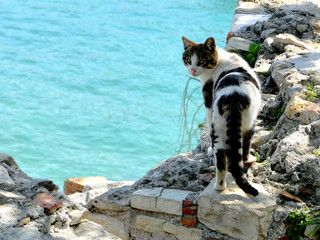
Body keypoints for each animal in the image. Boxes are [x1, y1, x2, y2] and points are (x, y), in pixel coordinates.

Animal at [181, 36, 262, 196]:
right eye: (188, 59)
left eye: (201, 61)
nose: (192, 70)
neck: (221, 60)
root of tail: (233, 98)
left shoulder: (209, 105)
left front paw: (210, 149)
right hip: (249, 123)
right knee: (244, 147)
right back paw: (247, 160)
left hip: (218, 125)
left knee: (221, 161)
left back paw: (219, 187)